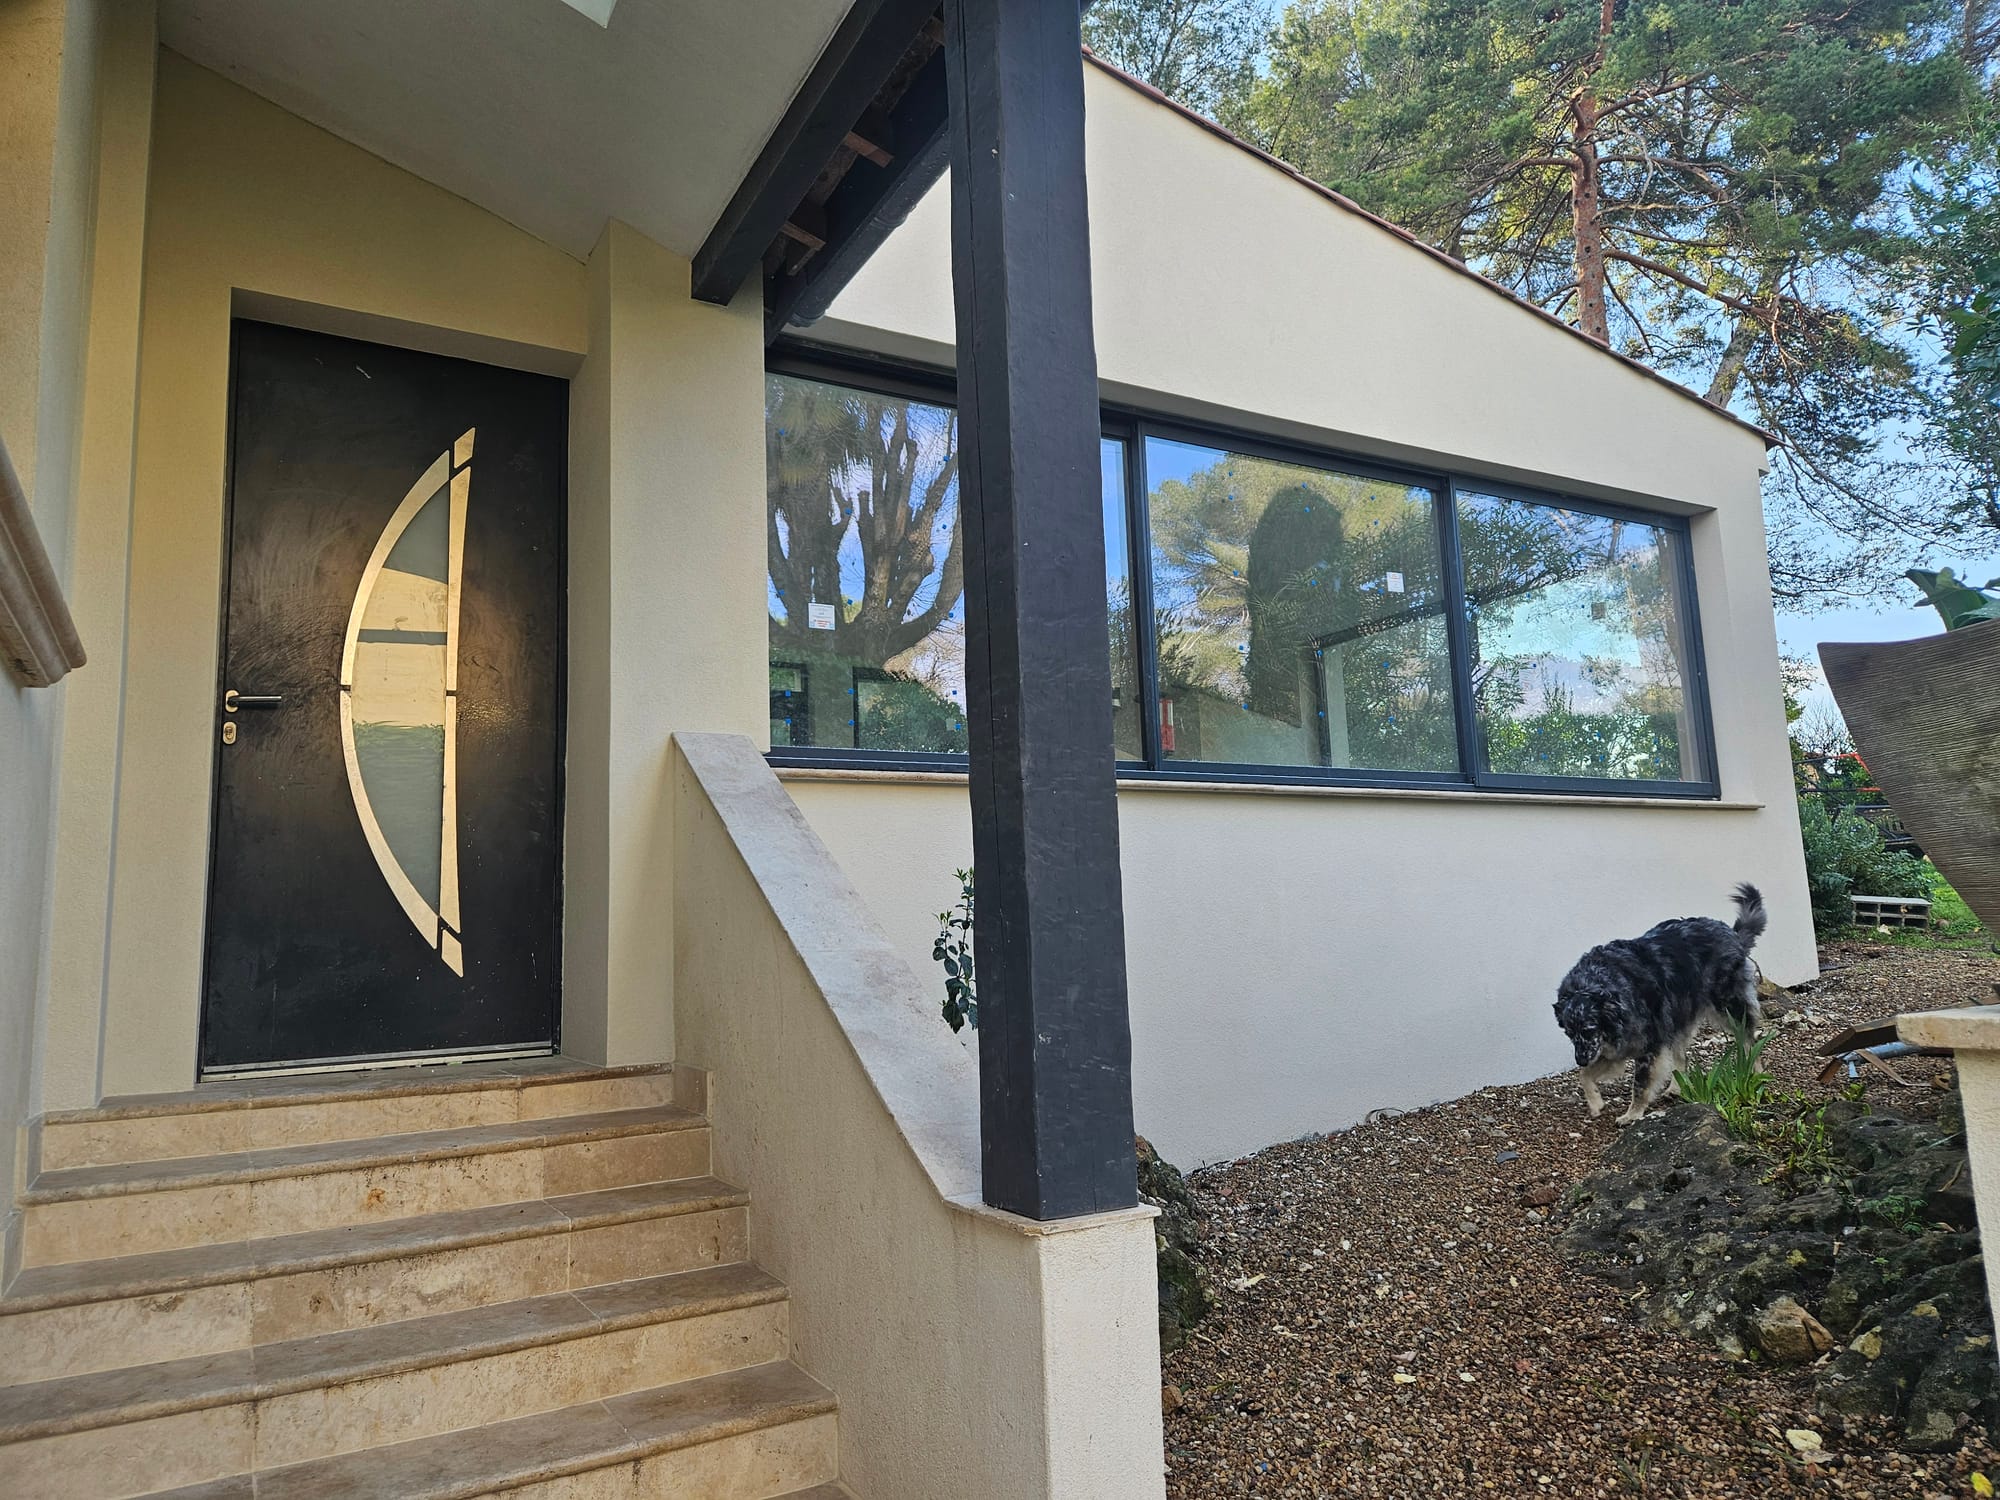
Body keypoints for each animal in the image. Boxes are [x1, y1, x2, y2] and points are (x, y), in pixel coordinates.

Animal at [1552, 883, 1768, 1125]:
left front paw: (1633, 1114)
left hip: (1729, 1008)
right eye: (1569, 1033)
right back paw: (1676, 1088)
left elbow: (1640, 1085)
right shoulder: (1614, 1051)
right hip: (1677, 1018)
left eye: (1589, 1030)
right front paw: (1596, 1102)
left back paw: (1754, 1071)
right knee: (1682, 1057)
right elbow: (1585, 1076)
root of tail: (1731, 933)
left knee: (1749, 1040)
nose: (1580, 1059)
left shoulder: (1649, 1047)